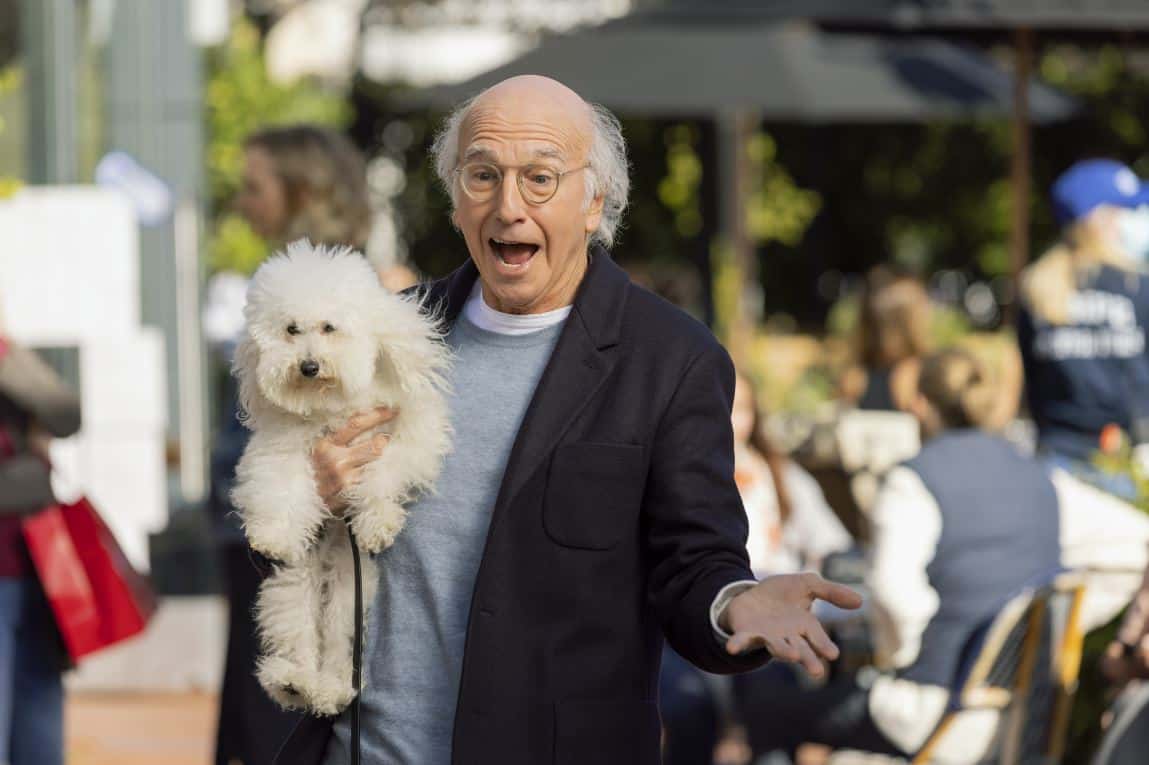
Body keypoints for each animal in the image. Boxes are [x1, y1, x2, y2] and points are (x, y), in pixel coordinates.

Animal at [230, 240, 450, 716]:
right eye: (291, 329)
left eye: (329, 327)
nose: (309, 366)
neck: (330, 407)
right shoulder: (281, 450)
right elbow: (282, 489)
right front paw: (273, 535)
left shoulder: (410, 431)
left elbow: (385, 471)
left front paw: (376, 522)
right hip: (295, 580)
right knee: (297, 628)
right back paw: (295, 682)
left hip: (351, 591)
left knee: (337, 641)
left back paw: (330, 688)